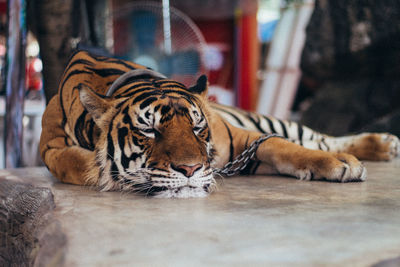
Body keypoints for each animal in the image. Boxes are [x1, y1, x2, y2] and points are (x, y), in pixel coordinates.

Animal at [39, 50, 400, 199]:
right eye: (149, 130)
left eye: (198, 127)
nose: (190, 170)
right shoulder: (51, 147)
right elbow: (71, 160)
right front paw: (103, 172)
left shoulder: (241, 139)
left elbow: (282, 145)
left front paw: (339, 164)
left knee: (318, 138)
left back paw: (382, 144)